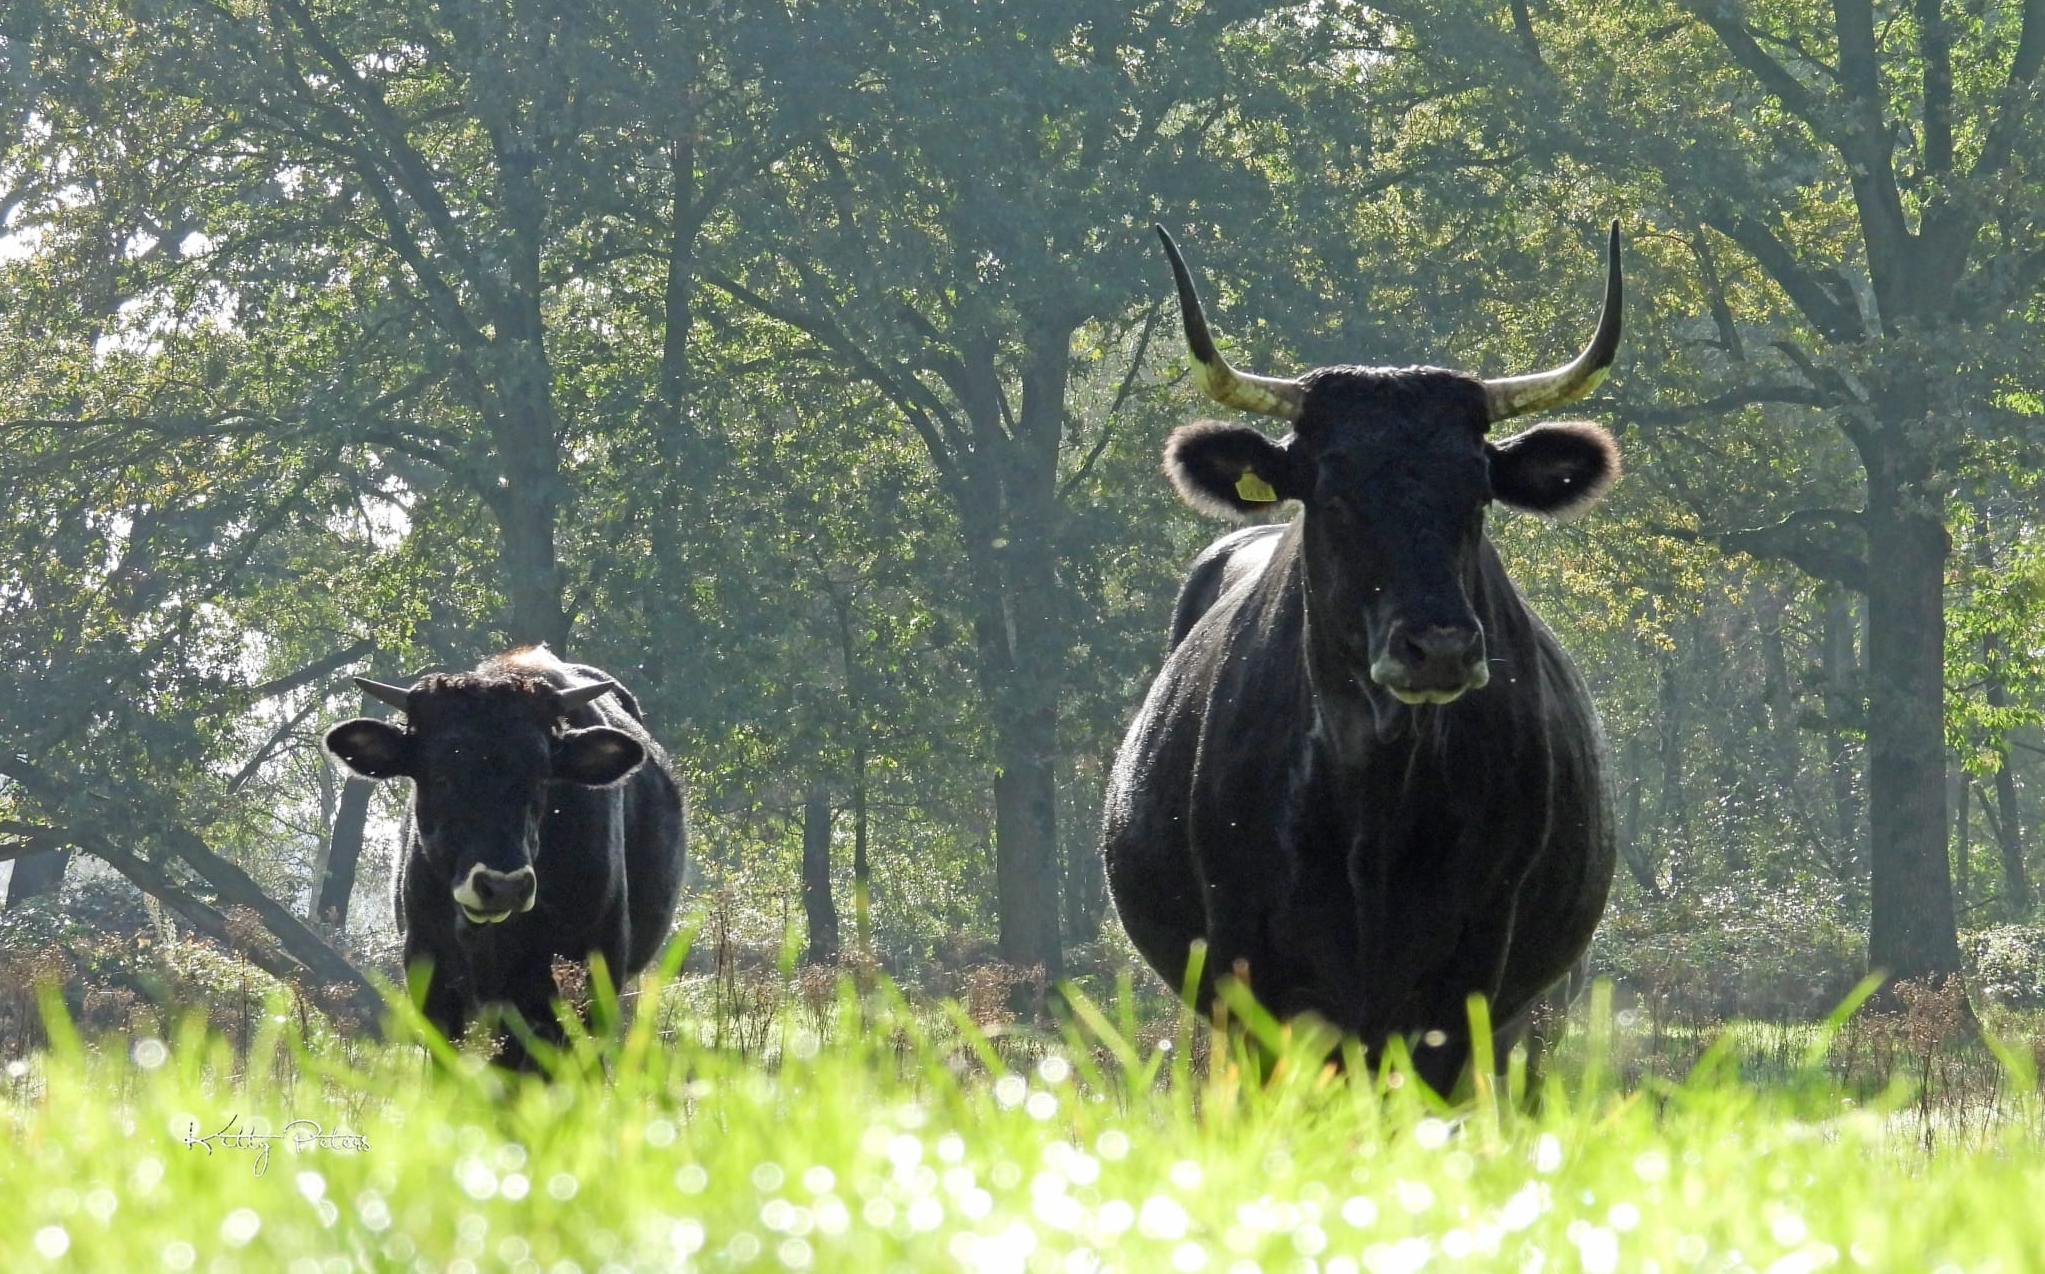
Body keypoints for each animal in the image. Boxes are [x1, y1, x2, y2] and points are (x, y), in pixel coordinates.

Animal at [1101, 223, 1624, 1094]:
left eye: (1477, 492)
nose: (1438, 646)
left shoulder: (1469, 978)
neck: (1375, 799)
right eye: (1334, 491)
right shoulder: (1254, 973)